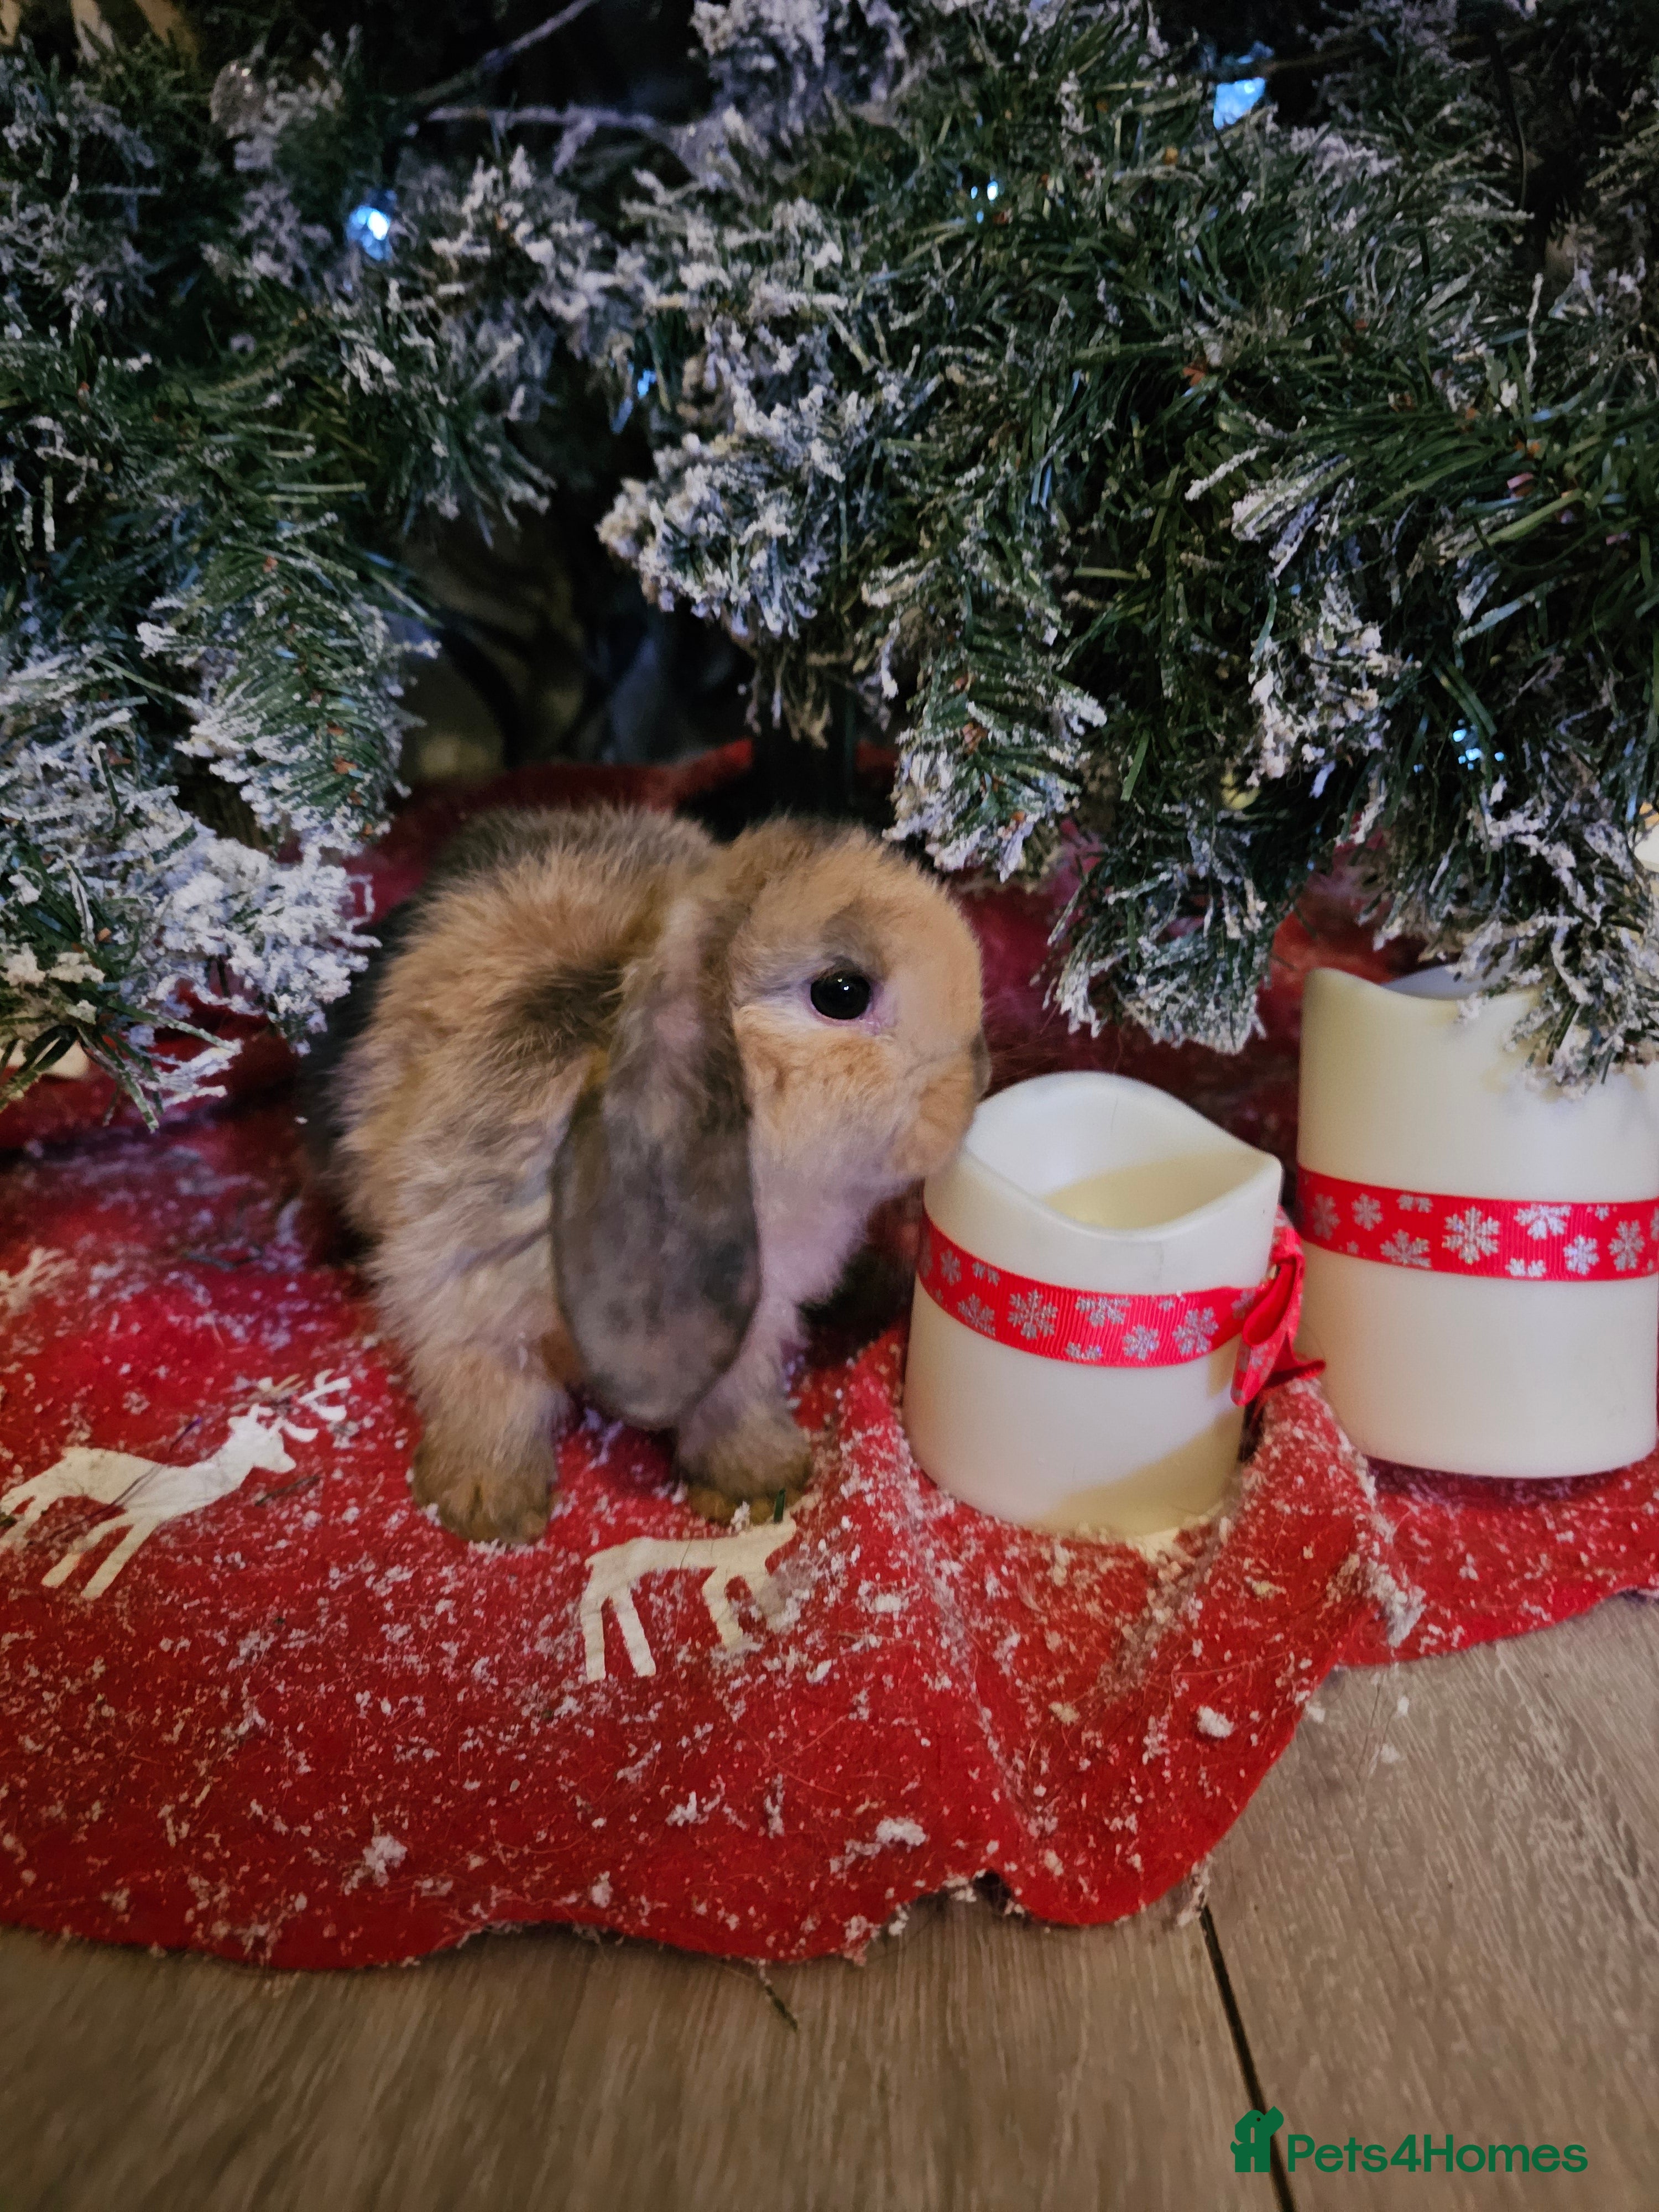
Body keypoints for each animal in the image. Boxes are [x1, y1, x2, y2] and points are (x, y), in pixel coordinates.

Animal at [308, 806, 988, 1543]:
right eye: (842, 993)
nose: (973, 1077)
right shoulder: (459, 1281)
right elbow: (490, 1392)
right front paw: (486, 1505)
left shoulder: (750, 1317)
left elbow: (736, 1397)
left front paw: (761, 1483)